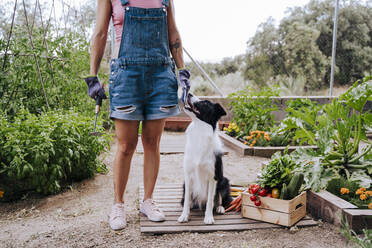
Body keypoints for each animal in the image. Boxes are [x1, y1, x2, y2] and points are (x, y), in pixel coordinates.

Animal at [178, 93, 232, 225]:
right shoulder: (188, 175)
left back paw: (220, 208)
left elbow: (210, 200)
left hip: (224, 181)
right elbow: (186, 199)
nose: (189, 93)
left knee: (220, 199)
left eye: (206, 103)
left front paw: (208, 217)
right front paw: (184, 215)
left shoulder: (213, 176)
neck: (199, 130)